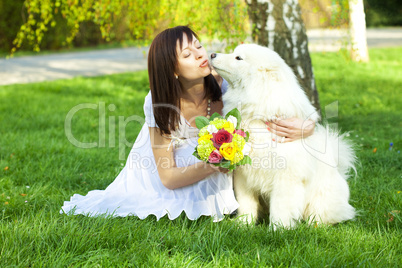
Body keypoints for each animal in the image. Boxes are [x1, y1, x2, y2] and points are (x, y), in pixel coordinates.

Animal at [210, 44, 354, 228]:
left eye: (238, 58)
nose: (212, 54)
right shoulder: (244, 175)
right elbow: (246, 203)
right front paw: (243, 225)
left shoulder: (285, 178)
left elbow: (280, 207)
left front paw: (278, 229)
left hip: (321, 199)